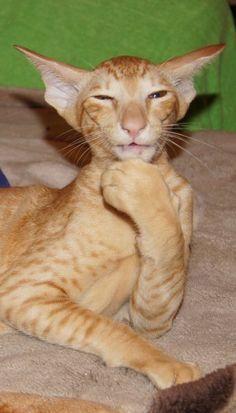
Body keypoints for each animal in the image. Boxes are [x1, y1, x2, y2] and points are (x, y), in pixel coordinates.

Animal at [0, 43, 223, 388]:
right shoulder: (20, 290)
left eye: (157, 95)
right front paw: (167, 362)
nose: (134, 126)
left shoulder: (151, 316)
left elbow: (169, 251)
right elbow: (106, 326)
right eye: (104, 98)